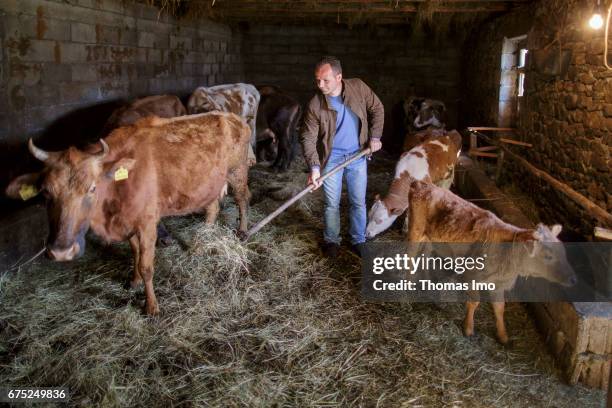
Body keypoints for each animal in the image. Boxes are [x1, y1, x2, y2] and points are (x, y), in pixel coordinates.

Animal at [5, 111, 250, 316]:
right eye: (46, 192)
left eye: (92, 188)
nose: (61, 252)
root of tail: (231, 115)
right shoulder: (128, 221)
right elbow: (134, 253)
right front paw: (134, 281)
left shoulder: (148, 223)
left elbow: (146, 265)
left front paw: (151, 306)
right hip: (211, 183)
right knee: (213, 207)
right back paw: (201, 241)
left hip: (237, 170)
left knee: (242, 198)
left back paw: (243, 231)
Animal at [368, 178, 580, 344]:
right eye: (548, 256)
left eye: (563, 252)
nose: (573, 279)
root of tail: (422, 184)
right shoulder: (472, 275)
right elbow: (474, 301)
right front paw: (468, 329)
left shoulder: (498, 283)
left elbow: (500, 308)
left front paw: (503, 336)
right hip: (415, 230)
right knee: (410, 258)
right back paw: (407, 291)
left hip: (431, 236)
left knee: (425, 254)